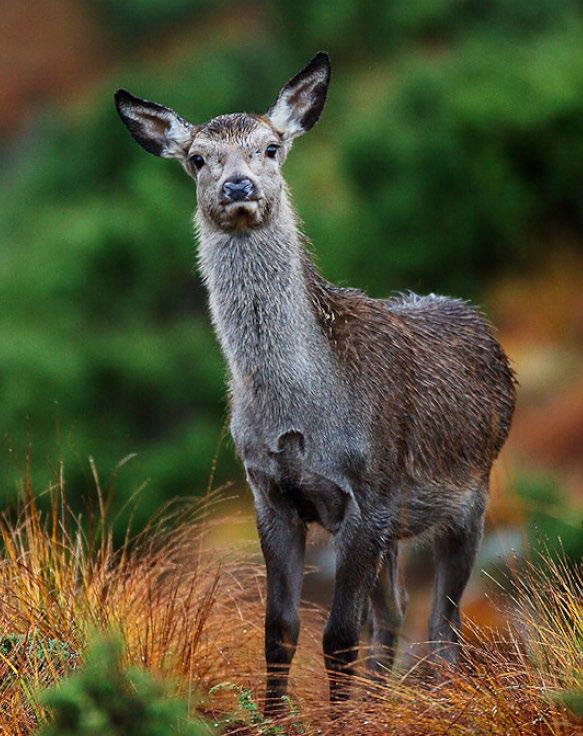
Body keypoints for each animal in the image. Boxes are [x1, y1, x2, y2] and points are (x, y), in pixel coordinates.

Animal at [116, 51, 516, 712]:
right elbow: (281, 630)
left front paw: (339, 719)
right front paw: (275, 717)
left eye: (271, 147)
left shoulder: (369, 491)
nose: (238, 187)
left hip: (471, 494)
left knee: (443, 620)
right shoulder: (271, 493)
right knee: (395, 612)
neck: (298, 413)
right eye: (197, 156)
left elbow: (338, 636)